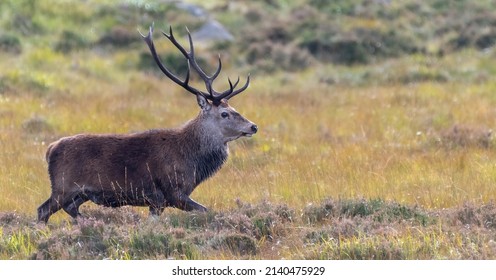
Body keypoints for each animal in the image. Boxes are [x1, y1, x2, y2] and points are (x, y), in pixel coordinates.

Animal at [36, 25, 258, 223]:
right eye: (224, 113)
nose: (253, 126)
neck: (192, 162)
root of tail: (50, 149)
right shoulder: (170, 192)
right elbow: (205, 210)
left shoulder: (157, 202)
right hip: (63, 186)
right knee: (42, 210)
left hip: (80, 193)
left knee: (70, 209)